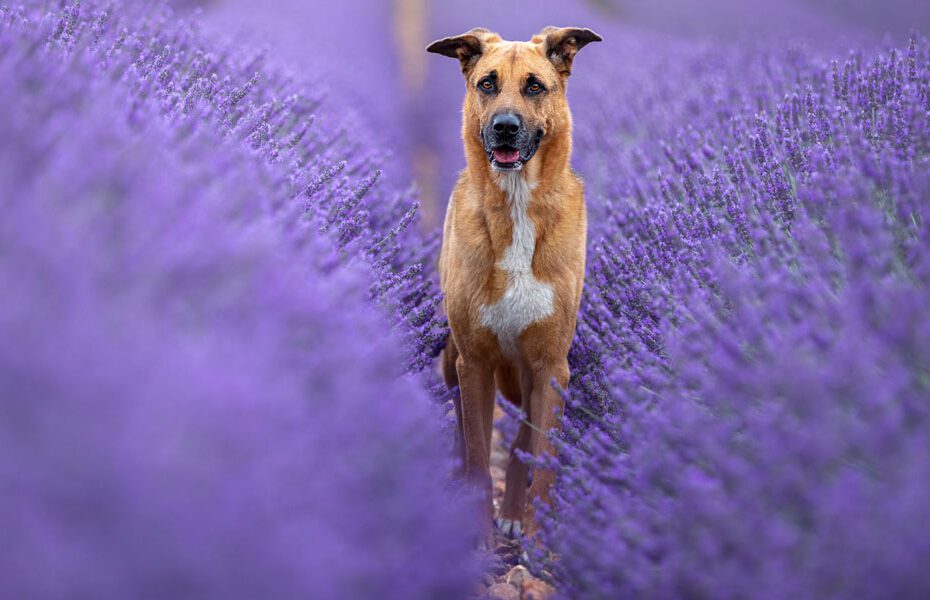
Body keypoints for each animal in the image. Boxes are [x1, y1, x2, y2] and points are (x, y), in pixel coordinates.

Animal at [428, 25, 600, 540]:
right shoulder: (473, 362)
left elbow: (541, 460)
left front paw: (537, 542)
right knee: (464, 431)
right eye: (487, 83)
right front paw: (480, 531)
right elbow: (480, 455)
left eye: (534, 86)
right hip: (453, 359)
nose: (504, 126)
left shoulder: (550, 366)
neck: (518, 205)